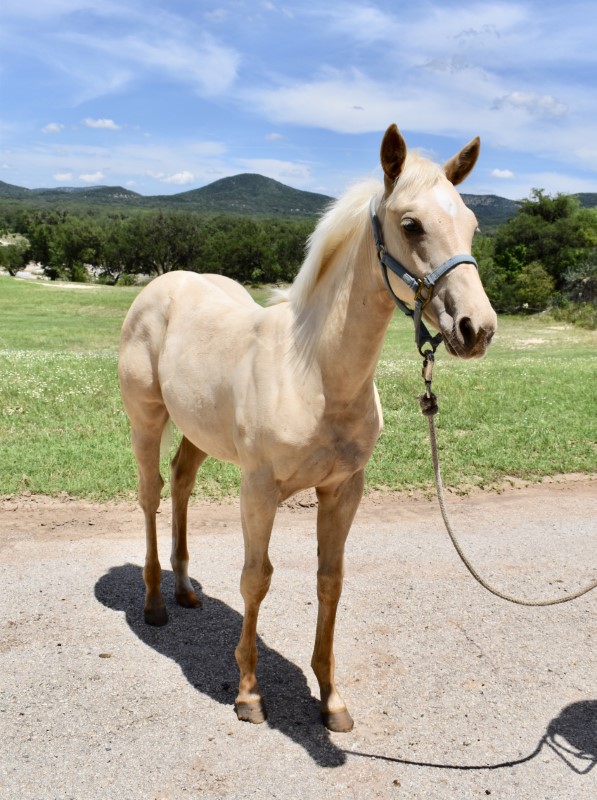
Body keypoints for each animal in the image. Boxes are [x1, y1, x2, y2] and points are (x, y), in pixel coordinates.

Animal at [118, 123, 496, 732]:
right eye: (411, 224)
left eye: (472, 224)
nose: (476, 328)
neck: (315, 373)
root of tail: (162, 285)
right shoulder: (259, 488)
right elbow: (256, 577)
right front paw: (249, 692)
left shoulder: (343, 489)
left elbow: (330, 580)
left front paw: (330, 697)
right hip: (146, 420)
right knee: (151, 494)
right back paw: (154, 603)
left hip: (199, 433)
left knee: (180, 483)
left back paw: (184, 590)